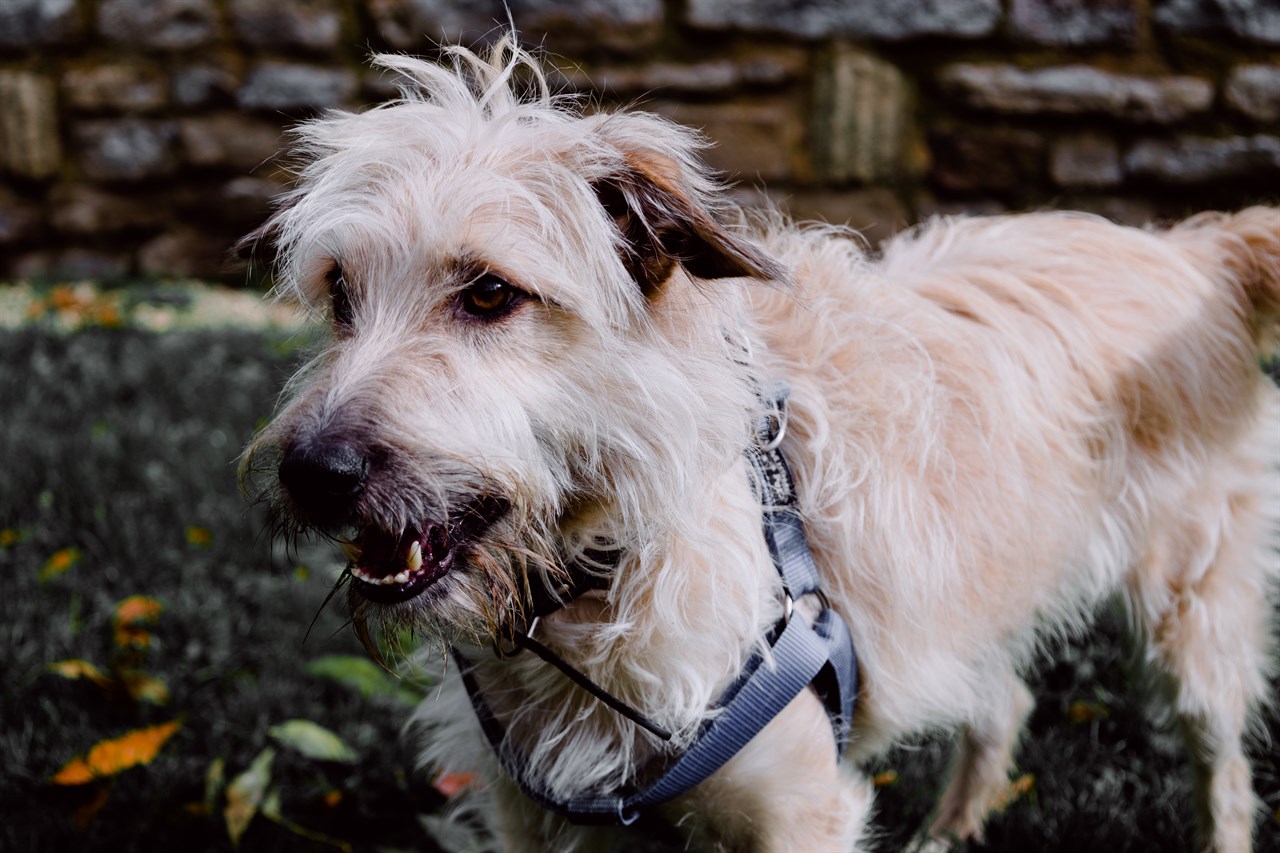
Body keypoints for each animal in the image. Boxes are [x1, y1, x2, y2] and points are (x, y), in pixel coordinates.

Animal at [244, 36, 1280, 845]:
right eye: (339, 292)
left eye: (491, 293)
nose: (313, 473)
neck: (596, 574)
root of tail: (1192, 249)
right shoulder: (526, 812)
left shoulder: (796, 806)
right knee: (1007, 700)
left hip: (1193, 613)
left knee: (1221, 762)